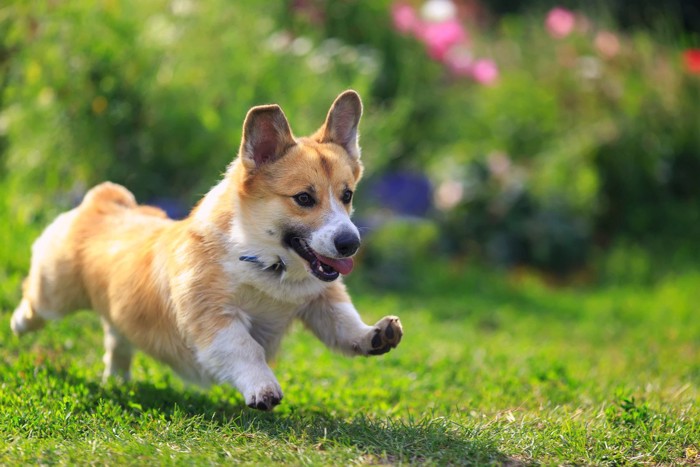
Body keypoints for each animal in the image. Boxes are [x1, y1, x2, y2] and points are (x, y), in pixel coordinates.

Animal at [10, 90, 402, 410]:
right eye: (304, 198)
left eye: (347, 195)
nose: (350, 243)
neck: (266, 263)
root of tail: (105, 200)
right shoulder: (214, 316)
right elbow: (246, 348)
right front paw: (263, 388)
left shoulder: (322, 301)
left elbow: (345, 325)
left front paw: (377, 335)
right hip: (53, 293)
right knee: (34, 305)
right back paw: (17, 323)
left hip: (117, 312)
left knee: (117, 338)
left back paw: (117, 379)